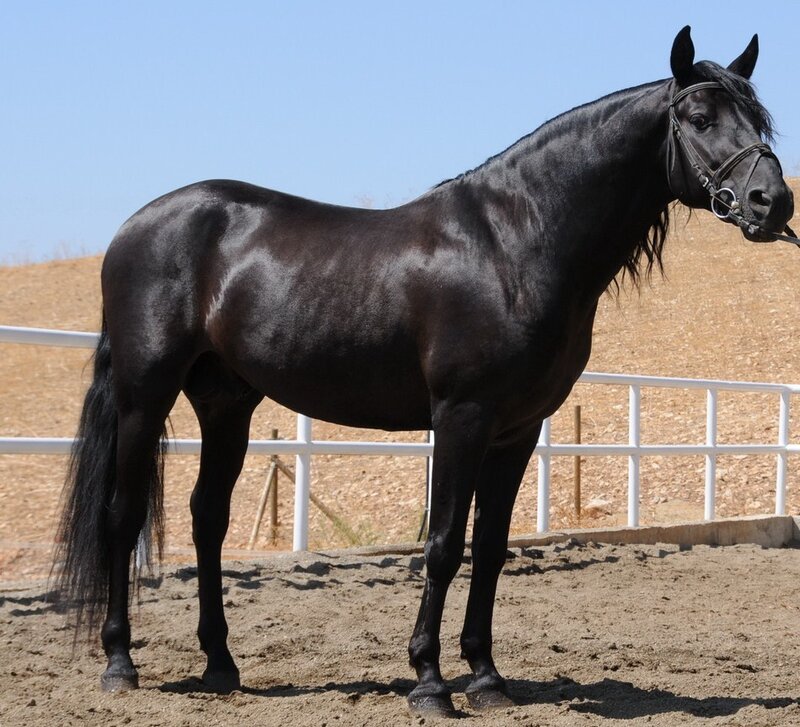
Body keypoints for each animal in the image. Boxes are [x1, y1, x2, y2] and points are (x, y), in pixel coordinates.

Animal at [54, 26, 794, 716]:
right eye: (699, 117)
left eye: (758, 119)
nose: (773, 203)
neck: (514, 243)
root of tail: (135, 227)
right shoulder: (461, 417)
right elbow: (442, 543)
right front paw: (431, 682)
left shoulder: (518, 430)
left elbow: (490, 548)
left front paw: (488, 678)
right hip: (144, 395)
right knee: (122, 516)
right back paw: (120, 664)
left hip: (226, 402)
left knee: (208, 518)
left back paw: (221, 664)